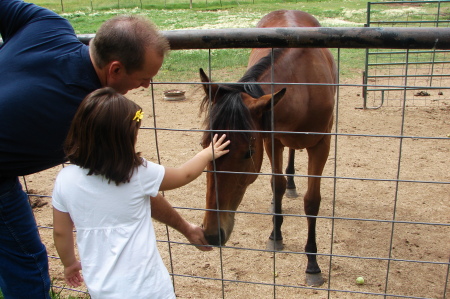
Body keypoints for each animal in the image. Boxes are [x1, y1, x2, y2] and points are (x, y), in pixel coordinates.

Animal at [199, 9, 336, 288]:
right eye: (205, 145)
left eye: (248, 153)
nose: (212, 234)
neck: (304, 87)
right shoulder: (272, 140)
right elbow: (277, 184)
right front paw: (276, 235)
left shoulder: (321, 145)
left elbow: (312, 201)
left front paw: (312, 264)